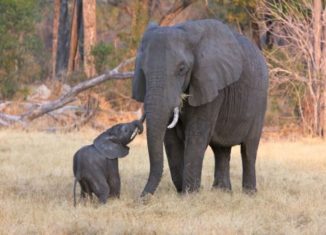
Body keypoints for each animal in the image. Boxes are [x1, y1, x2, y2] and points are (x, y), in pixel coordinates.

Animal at [132, 19, 268, 196]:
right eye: (143, 70)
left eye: (182, 69)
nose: (140, 198)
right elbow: (170, 139)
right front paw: (184, 191)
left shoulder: (210, 83)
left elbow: (197, 134)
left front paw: (189, 195)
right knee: (221, 149)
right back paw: (222, 192)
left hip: (260, 102)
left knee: (249, 149)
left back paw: (249, 193)